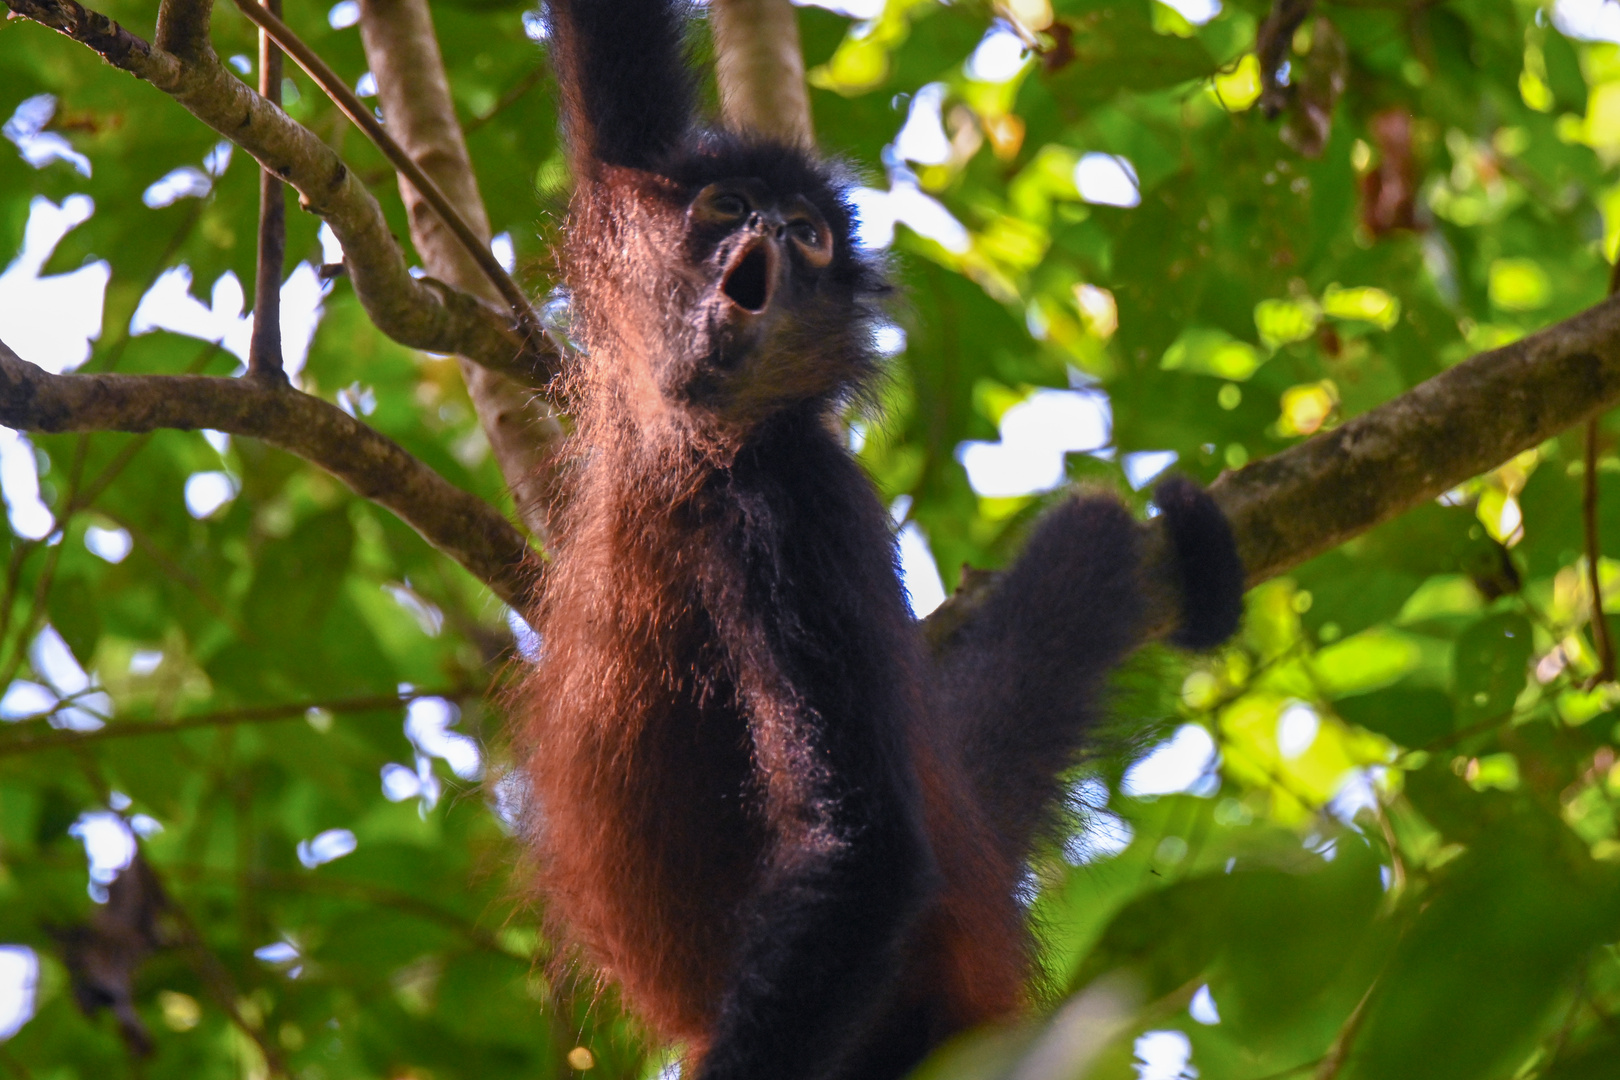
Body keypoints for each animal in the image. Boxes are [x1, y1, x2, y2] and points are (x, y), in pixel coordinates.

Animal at [511, 2, 1244, 1080]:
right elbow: (618, 72)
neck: (698, 447)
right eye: (730, 204)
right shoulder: (622, 223)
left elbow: (866, 852)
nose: (770, 230)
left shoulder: (792, 506)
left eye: (809, 236)